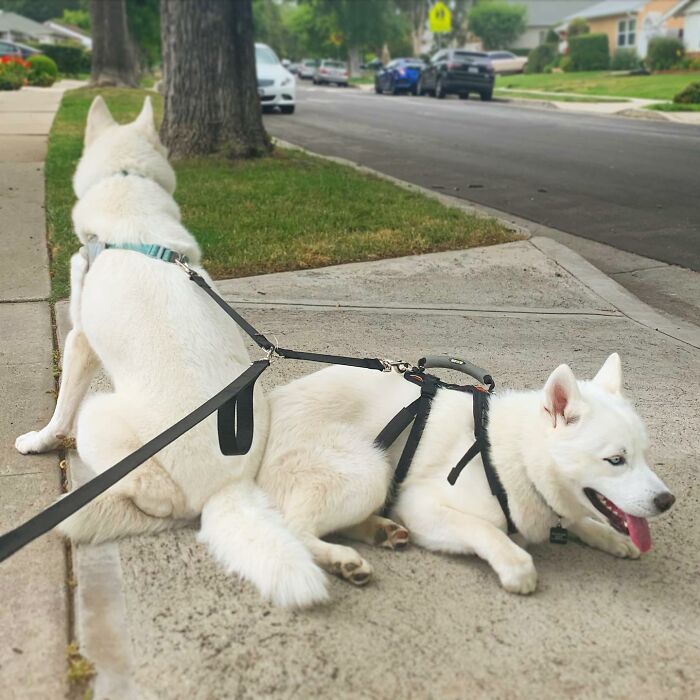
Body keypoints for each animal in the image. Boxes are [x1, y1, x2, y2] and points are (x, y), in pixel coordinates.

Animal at [15, 94, 328, 608]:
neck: (126, 186)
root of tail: (226, 487)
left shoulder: (80, 340)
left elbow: (60, 412)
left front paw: (41, 440)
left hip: (99, 415)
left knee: (153, 493)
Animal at [260, 352, 676, 592]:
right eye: (616, 460)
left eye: (643, 454)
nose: (666, 501)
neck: (516, 455)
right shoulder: (421, 505)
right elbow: (488, 532)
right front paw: (515, 565)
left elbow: (580, 521)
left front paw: (608, 536)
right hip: (372, 469)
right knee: (295, 528)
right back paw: (342, 559)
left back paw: (380, 531)